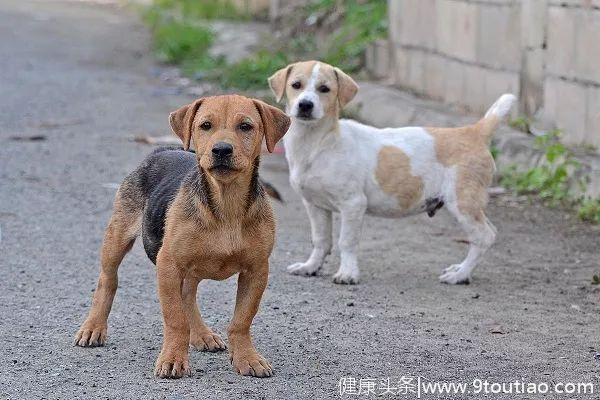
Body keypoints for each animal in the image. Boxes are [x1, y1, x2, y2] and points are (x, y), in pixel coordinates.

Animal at [75, 94, 290, 378]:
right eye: (205, 125)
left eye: (246, 126)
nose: (222, 150)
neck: (226, 204)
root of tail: (162, 150)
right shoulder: (169, 263)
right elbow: (175, 318)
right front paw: (173, 359)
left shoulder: (256, 270)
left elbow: (242, 320)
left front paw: (247, 357)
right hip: (118, 235)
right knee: (107, 280)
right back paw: (93, 327)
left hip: (191, 266)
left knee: (188, 294)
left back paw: (202, 335)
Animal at [268, 60, 516, 284]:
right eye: (296, 85)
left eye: (324, 89)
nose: (305, 105)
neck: (317, 143)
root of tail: (473, 132)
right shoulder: (315, 205)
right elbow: (320, 240)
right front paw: (310, 267)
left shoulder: (353, 204)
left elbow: (346, 242)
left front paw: (347, 273)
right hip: (469, 204)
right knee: (485, 233)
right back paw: (460, 269)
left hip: (462, 202)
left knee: (485, 236)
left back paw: (460, 275)